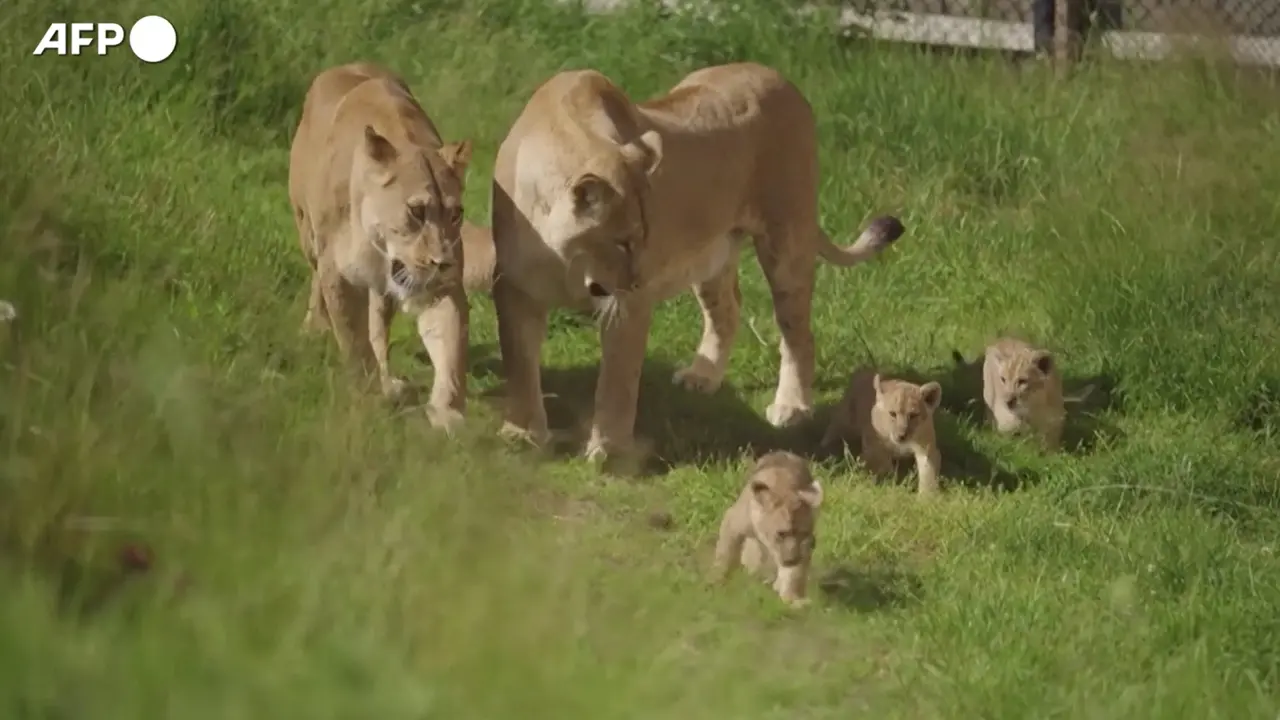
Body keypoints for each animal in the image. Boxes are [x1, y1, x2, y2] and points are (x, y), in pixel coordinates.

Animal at [288, 62, 474, 430]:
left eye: (456, 214)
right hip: (307, 233)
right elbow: (355, 344)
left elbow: (451, 345)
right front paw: (369, 403)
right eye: (417, 212)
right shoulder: (338, 275)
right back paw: (313, 327)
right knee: (315, 277)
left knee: (379, 326)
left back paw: (391, 384)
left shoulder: (441, 286)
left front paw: (447, 413)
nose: (442, 262)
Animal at [489, 62, 904, 461]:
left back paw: (792, 407)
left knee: (799, 334)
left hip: (787, 242)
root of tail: (783, 80)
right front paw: (522, 436)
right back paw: (703, 377)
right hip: (710, 257)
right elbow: (520, 366)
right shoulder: (512, 287)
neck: (563, 259)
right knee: (728, 311)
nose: (639, 281)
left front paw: (609, 450)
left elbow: (618, 382)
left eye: (644, 237)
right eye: (622, 242)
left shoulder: (627, 307)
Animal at [711, 451, 824, 608]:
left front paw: (794, 599)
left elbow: (794, 573)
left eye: (803, 533)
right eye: (781, 533)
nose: (791, 560)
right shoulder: (733, 521)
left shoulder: (805, 546)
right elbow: (725, 554)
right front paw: (716, 583)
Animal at [821, 368, 944, 496]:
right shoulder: (876, 448)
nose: (901, 435)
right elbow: (882, 467)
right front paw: (887, 486)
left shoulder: (927, 449)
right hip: (845, 418)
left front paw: (927, 496)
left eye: (914, 415)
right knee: (834, 428)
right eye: (892, 413)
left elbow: (928, 471)